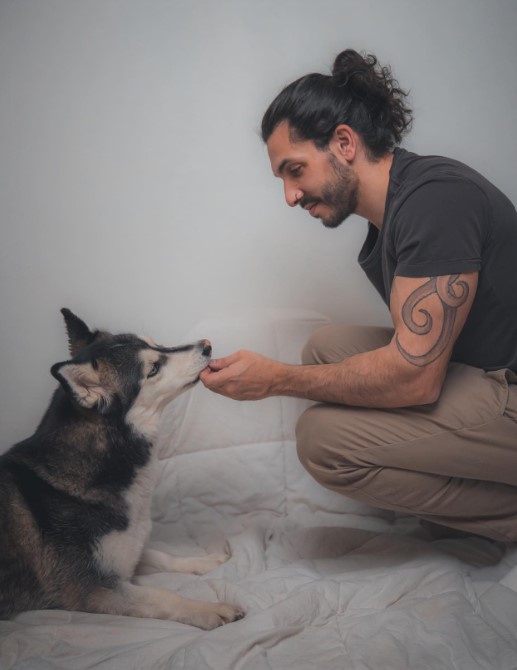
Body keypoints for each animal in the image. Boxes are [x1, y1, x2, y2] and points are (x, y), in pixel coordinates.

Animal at [0, 312, 244, 632]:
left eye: (158, 344)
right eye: (153, 368)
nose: (206, 345)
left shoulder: (127, 555)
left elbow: (163, 556)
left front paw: (204, 562)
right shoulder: (90, 588)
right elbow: (161, 596)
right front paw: (208, 609)